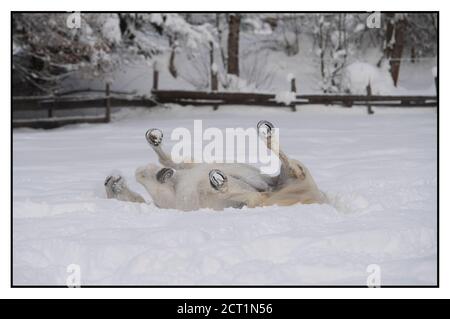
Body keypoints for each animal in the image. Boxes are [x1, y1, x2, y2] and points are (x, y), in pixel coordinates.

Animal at [103, 121, 326, 211]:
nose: (111, 179)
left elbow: (166, 161)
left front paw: (154, 139)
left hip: (285, 176)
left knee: (285, 164)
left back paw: (266, 132)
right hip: (283, 185)